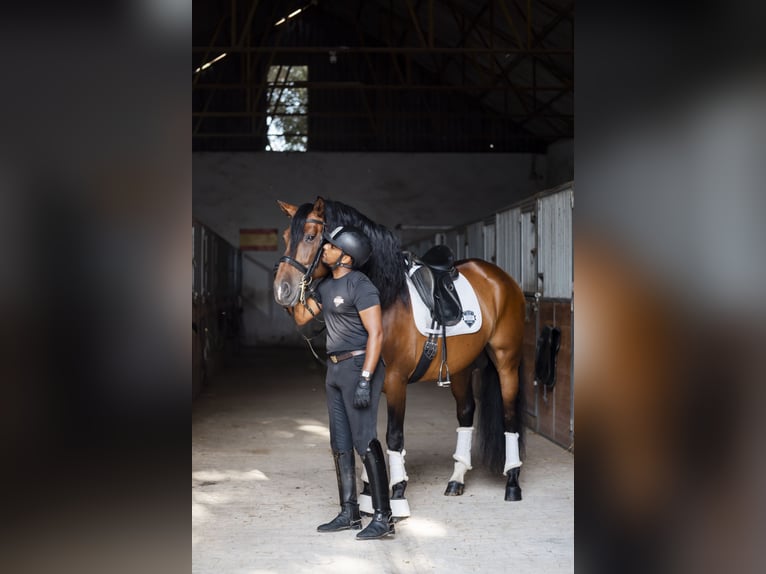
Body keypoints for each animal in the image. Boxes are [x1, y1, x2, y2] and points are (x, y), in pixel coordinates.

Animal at [273, 196, 526, 518]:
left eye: (310, 236)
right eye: (284, 237)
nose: (282, 290)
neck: (386, 296)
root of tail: (500, 278)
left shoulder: (395, 381)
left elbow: (393, 437)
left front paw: (397, 493)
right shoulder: (369, 384)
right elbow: (367, 436)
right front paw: (369, 493)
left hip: (506, 361)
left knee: (509, 416)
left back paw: (512, 483)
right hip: (461, 368)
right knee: (466, 412)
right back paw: (456, 480)